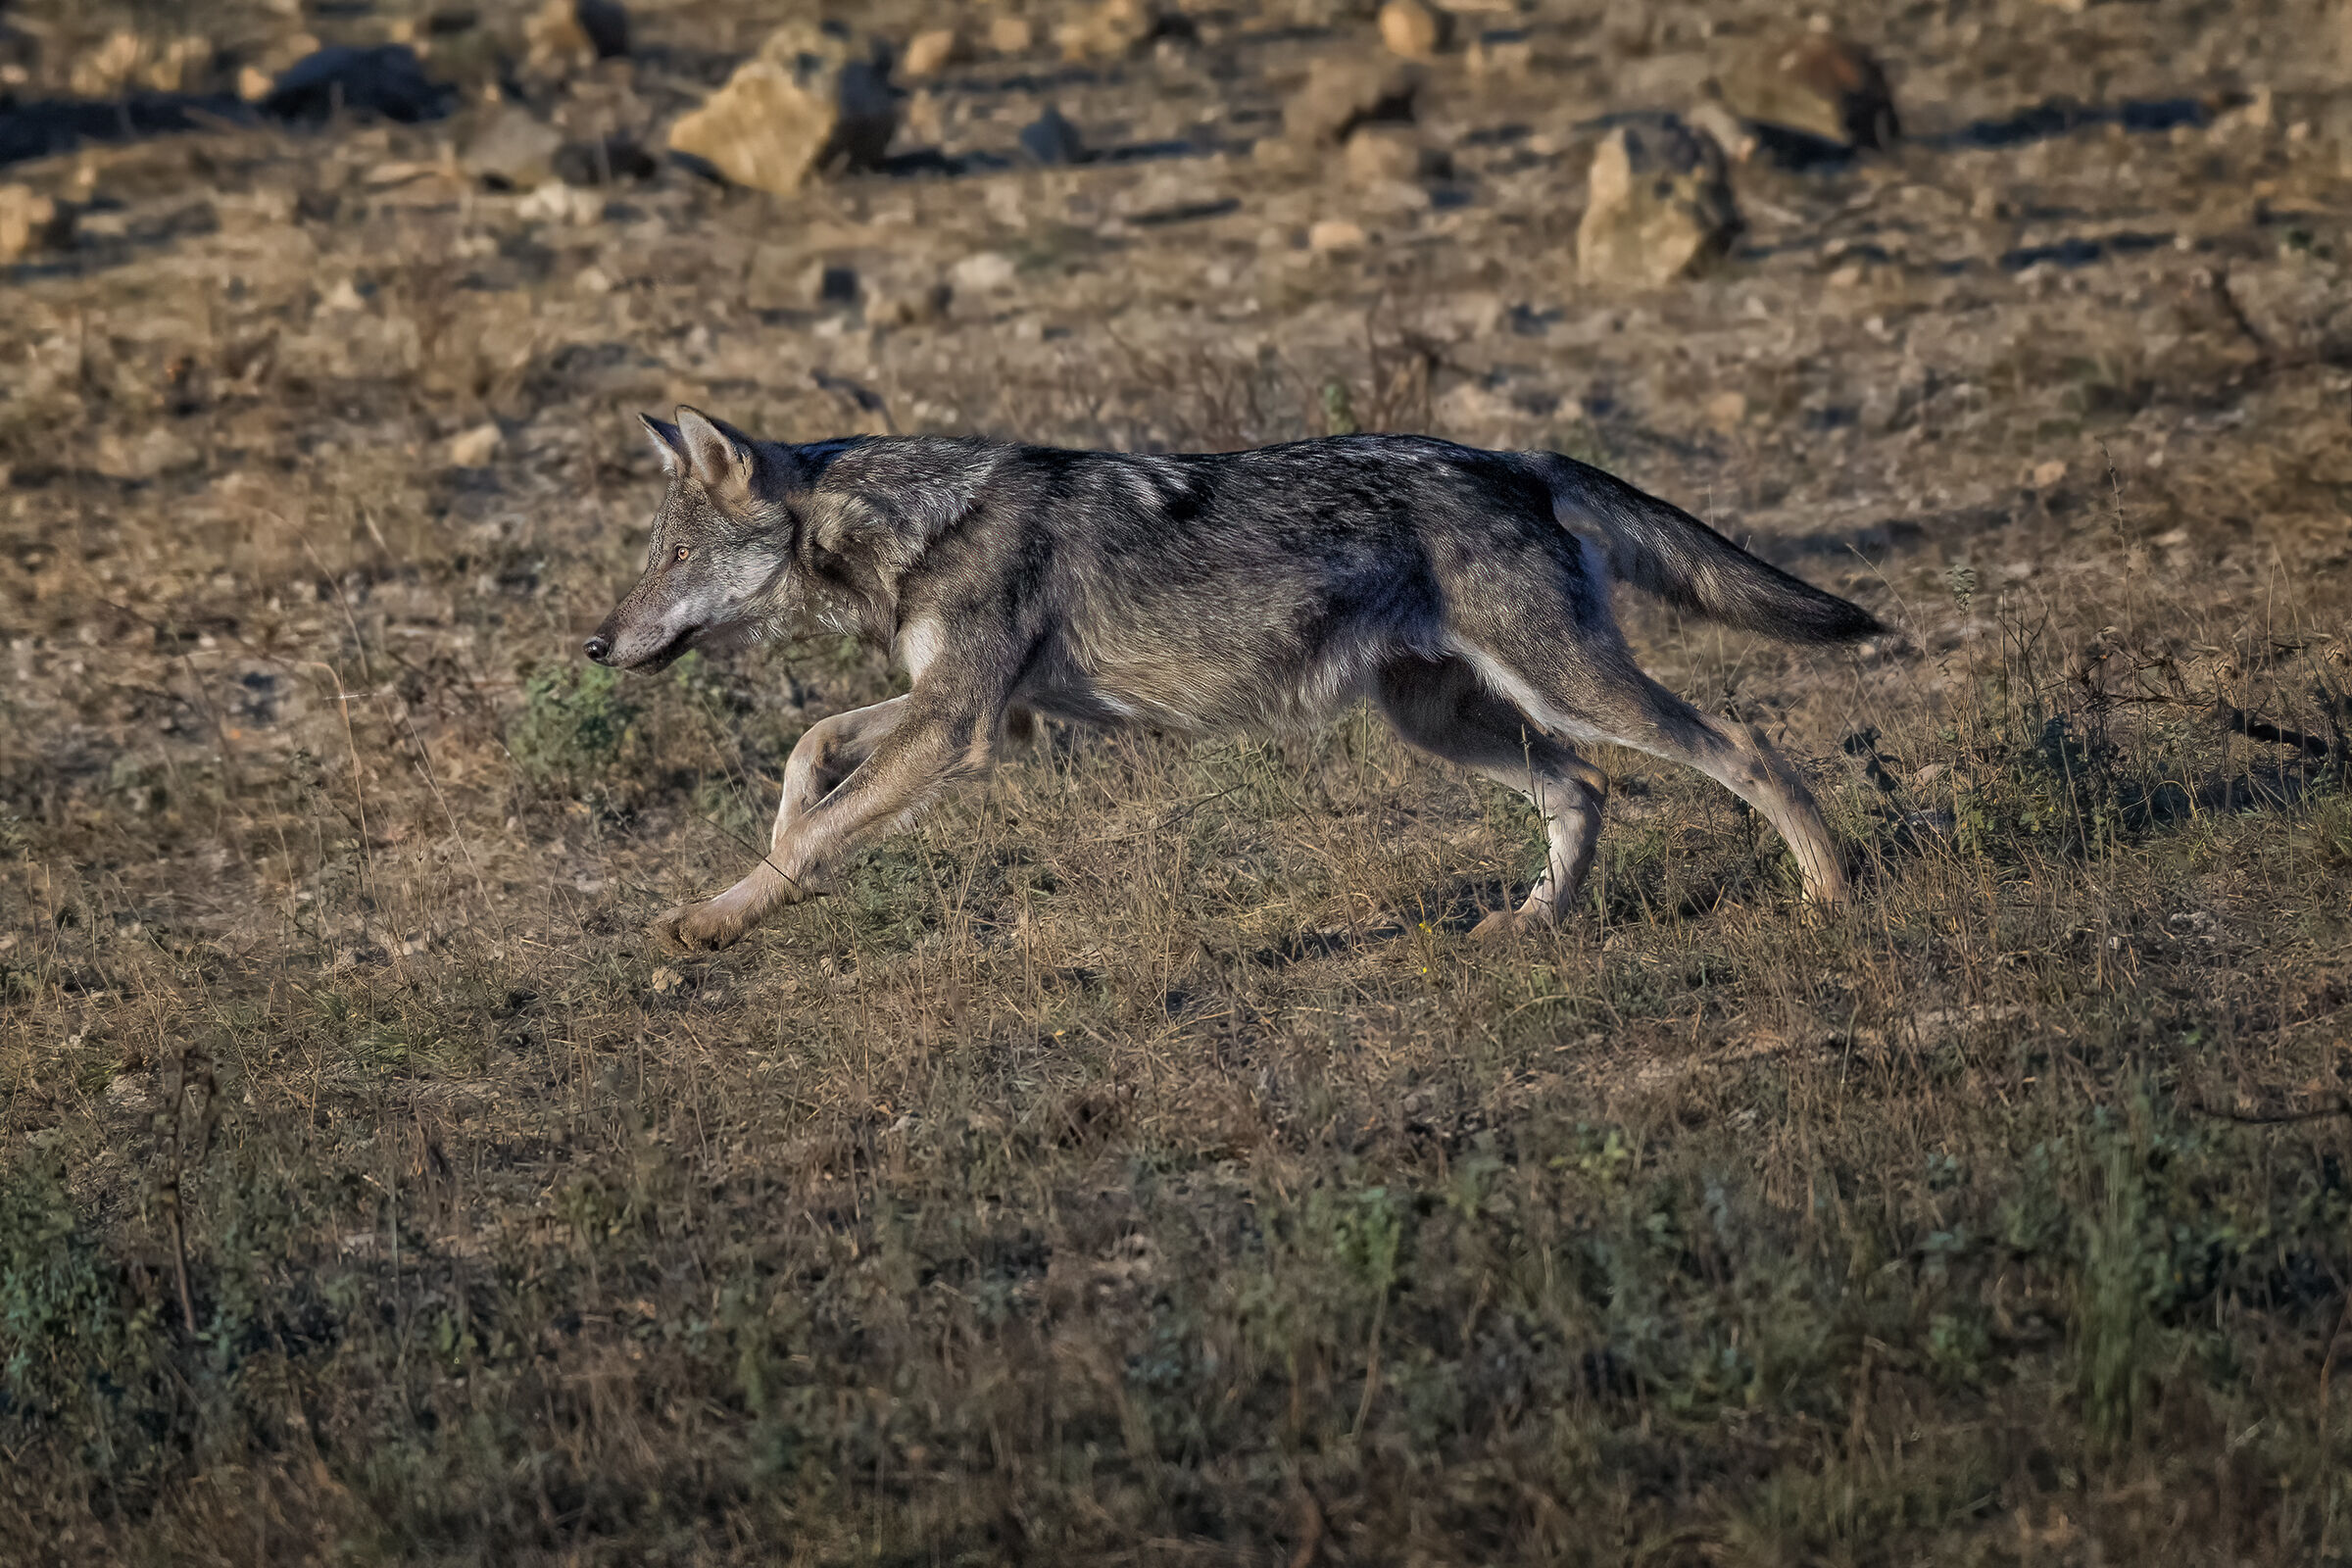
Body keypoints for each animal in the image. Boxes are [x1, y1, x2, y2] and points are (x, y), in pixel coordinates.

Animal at [585, 408, 1881, 952]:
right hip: (1444, 720)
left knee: (1743, 748)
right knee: (1587, 791)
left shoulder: (960, 725)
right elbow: (808, 751)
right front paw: (766, 864)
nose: (595, 645)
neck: (911, 524)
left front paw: (715, 919)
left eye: (671, 559)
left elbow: (815, 828)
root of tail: (1510, 454)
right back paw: (1533, 924)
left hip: (1566, 688)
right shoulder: (976, 712)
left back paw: (1829, 893)